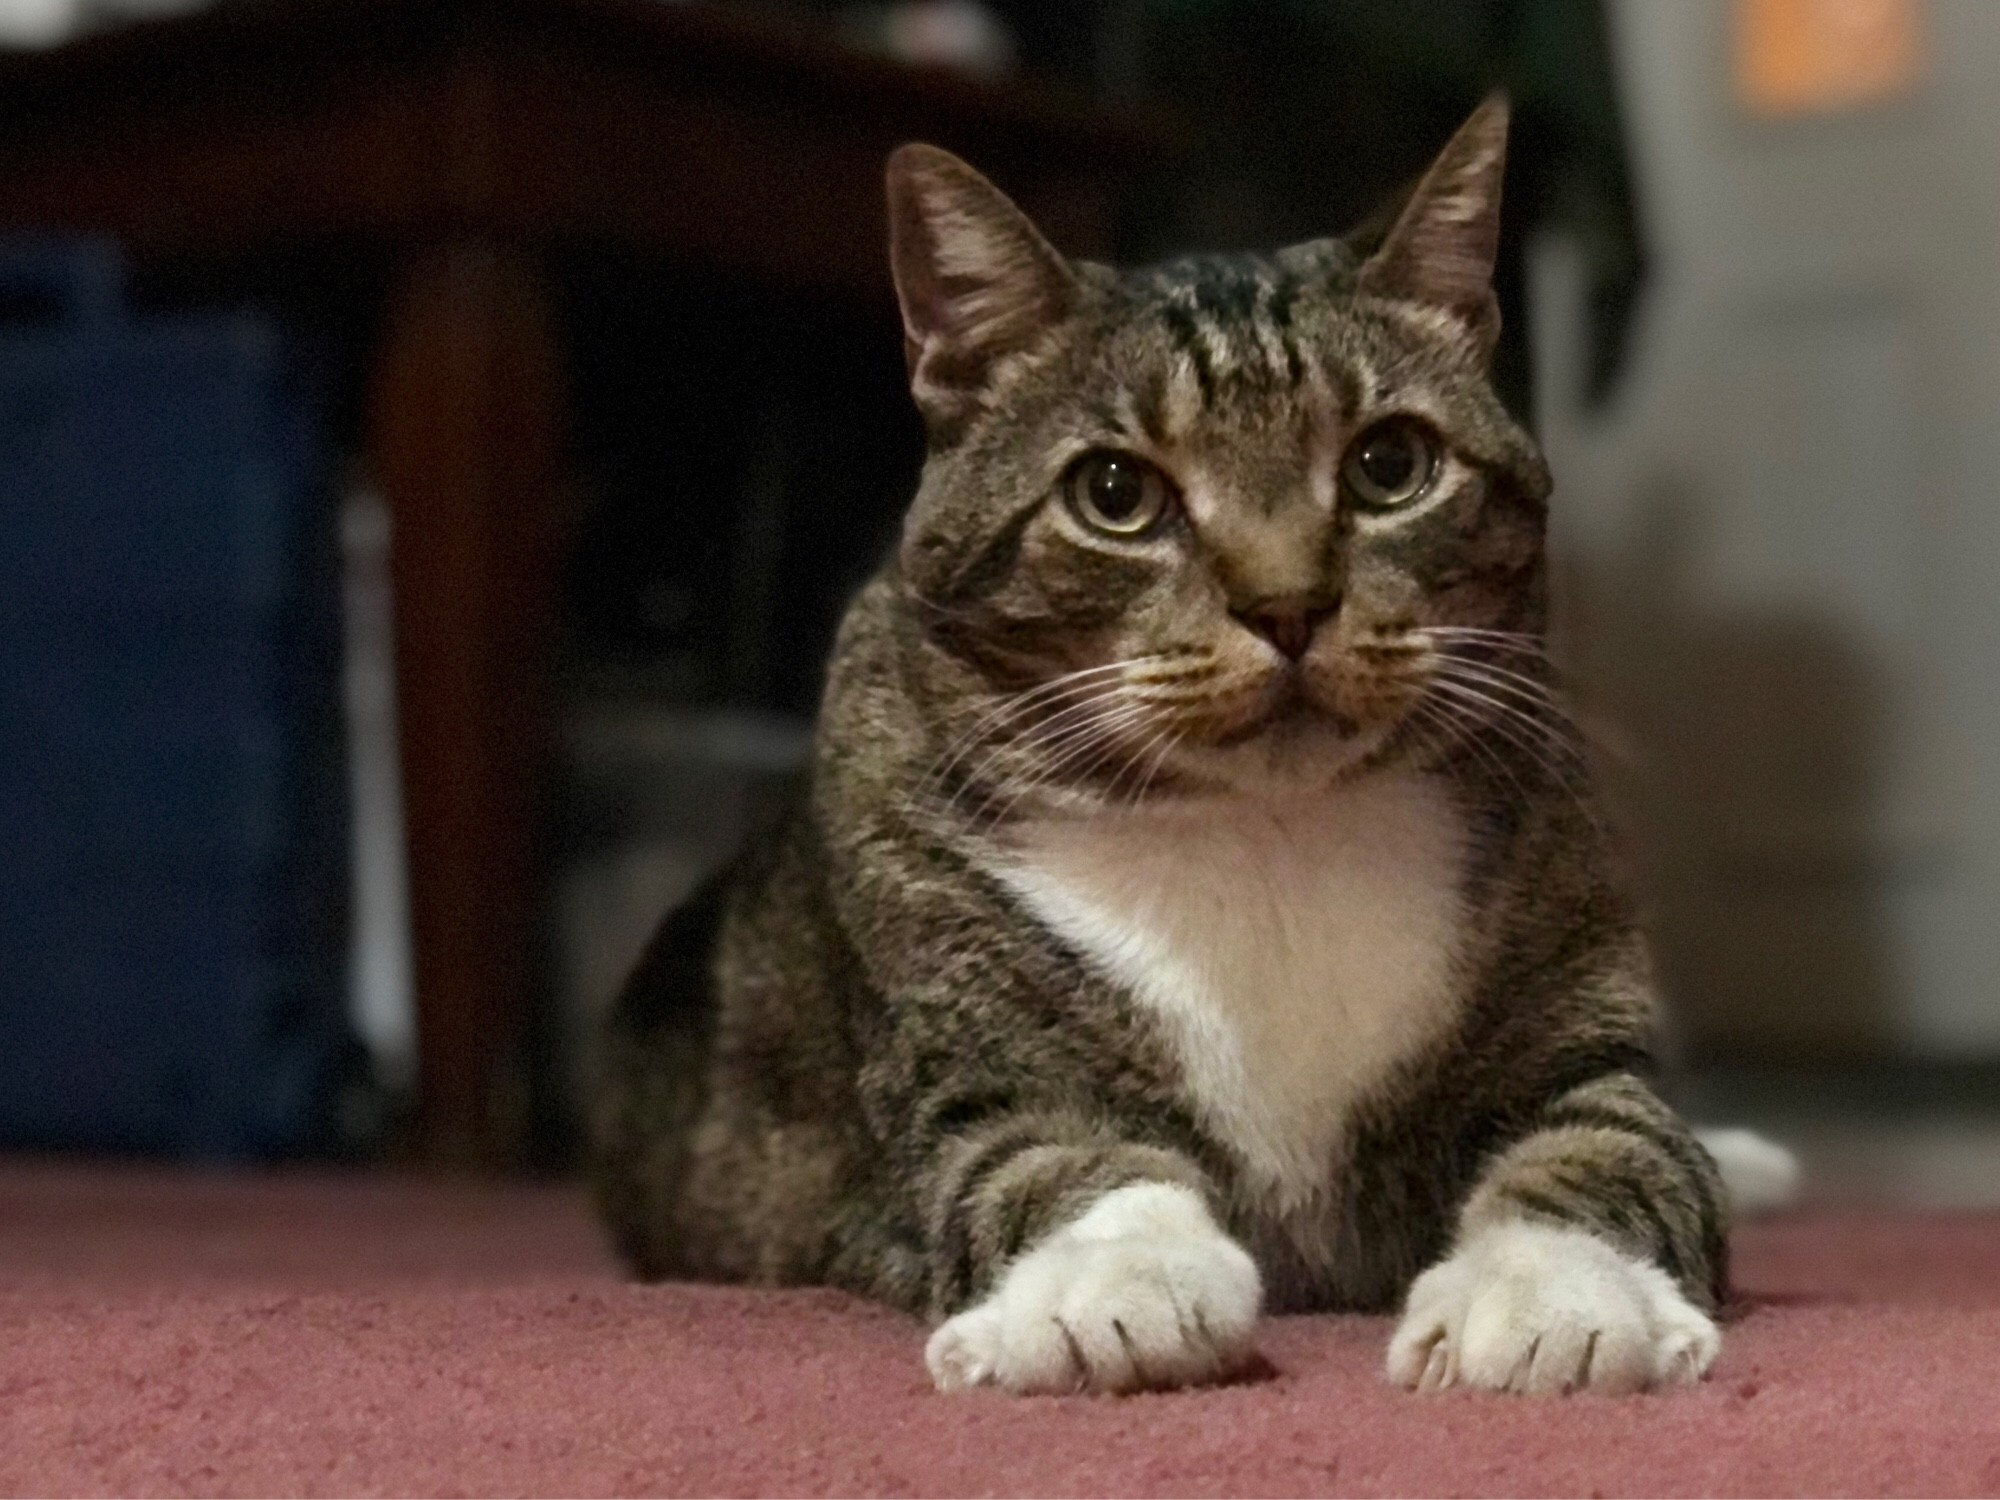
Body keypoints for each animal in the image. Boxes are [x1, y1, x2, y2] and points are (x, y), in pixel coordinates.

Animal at [592, 100, 1736, 1408]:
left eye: (1389, 464)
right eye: (1113, 492)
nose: (1287, 605)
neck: (1270, 832)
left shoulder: (1572, 1030)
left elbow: (1608, 1146)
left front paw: (1547, 1302)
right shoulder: (966, 1044)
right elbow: (1047, 1158)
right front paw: (1114, 1292)